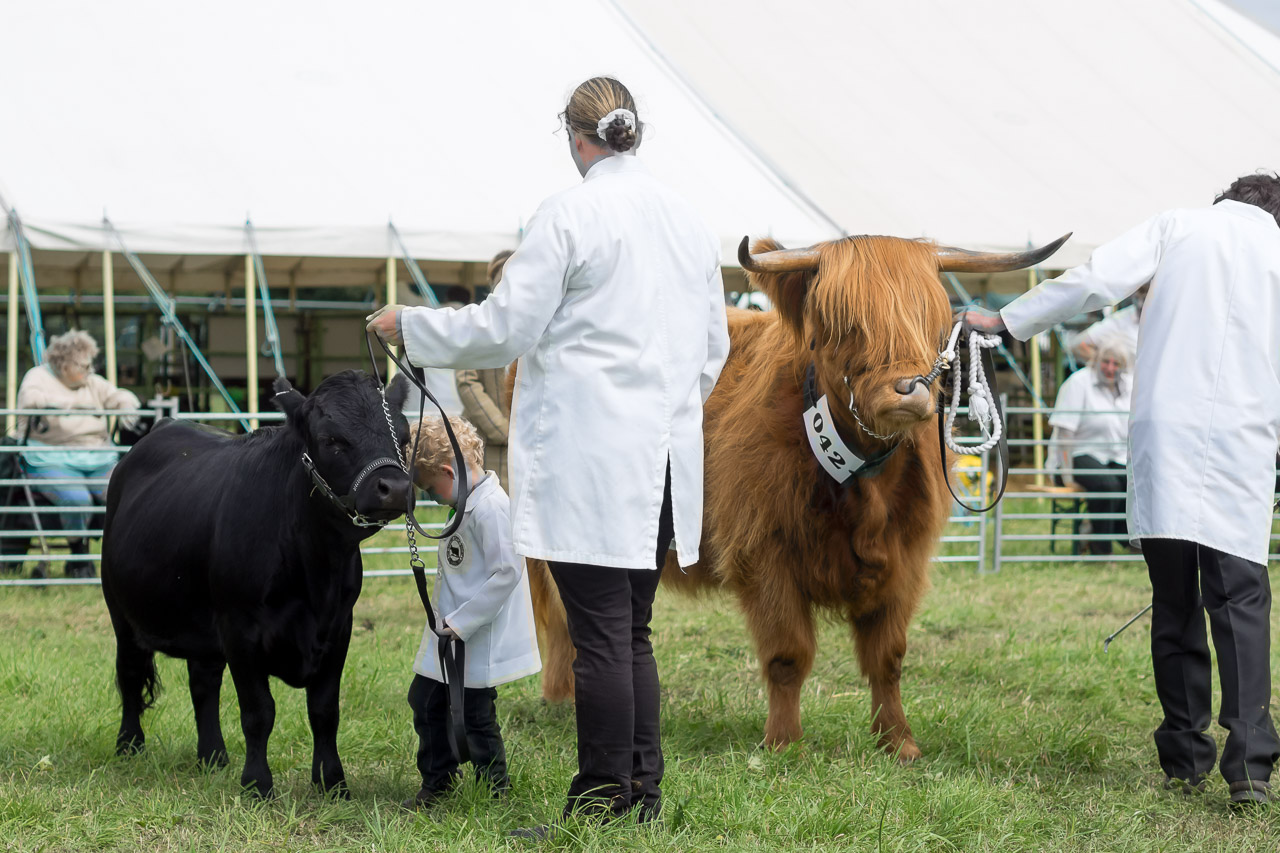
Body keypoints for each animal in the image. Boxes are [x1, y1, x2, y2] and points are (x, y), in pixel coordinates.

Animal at [104, 368, 414, 794]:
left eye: (405, 436)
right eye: (332, 440)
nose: (395, 489)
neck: (315, 571)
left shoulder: (339, 627)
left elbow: (324, 710)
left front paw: (332, 782)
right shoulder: (240, 628)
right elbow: (258, 712)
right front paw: (257, 784)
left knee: (203, 684)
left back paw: (213, 756)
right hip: (121, 612)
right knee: (131, 674)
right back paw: (129, 746)